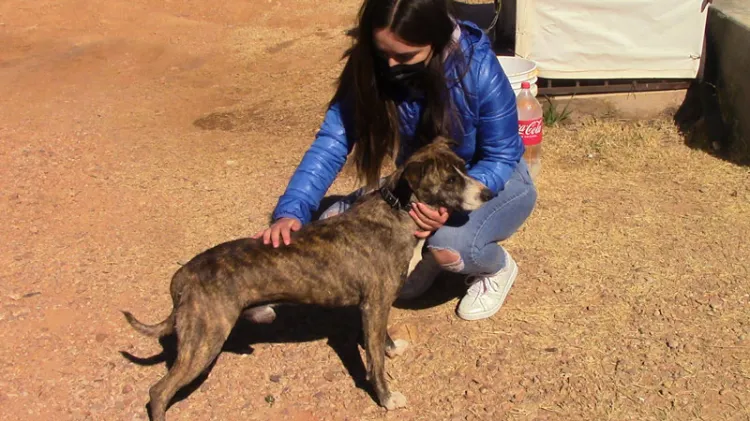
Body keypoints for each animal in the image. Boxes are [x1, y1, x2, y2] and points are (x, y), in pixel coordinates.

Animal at [125, 136, 494, 418]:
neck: (396, 210)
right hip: (205, 342)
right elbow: (374, 363)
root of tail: (184, 275)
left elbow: (381, 342)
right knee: (158, 391)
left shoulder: (377, 307)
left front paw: (391, 348)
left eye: (464, 167)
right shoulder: (374, 306)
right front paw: (386, 398)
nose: (488, 194)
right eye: (449, 180)